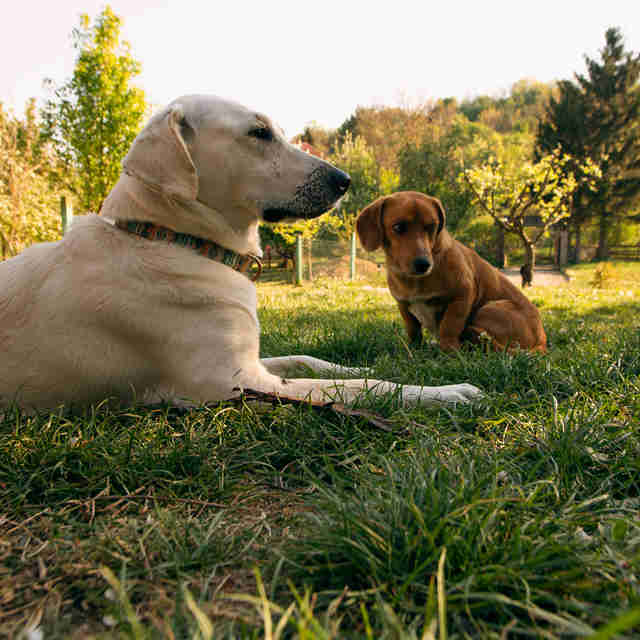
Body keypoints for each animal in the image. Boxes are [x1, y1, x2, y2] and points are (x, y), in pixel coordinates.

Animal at [0, 97, 480, 412]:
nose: (344, 180)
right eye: (258, 133)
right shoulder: (234, 383)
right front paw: (443, 392)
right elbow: (361, 388)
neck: (171, 239)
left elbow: (311, 360)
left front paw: (355, 362)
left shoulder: (252, 363)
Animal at [356, 190, 544, 352]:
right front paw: (414, 349)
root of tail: (541, 341)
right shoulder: (403, 305)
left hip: (491, 308)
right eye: (398, 227)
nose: (423, 264)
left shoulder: (462, 295)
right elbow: (413, 330)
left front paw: (450, 350)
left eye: (431, 226)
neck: (415, 281)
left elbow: (449, 326)